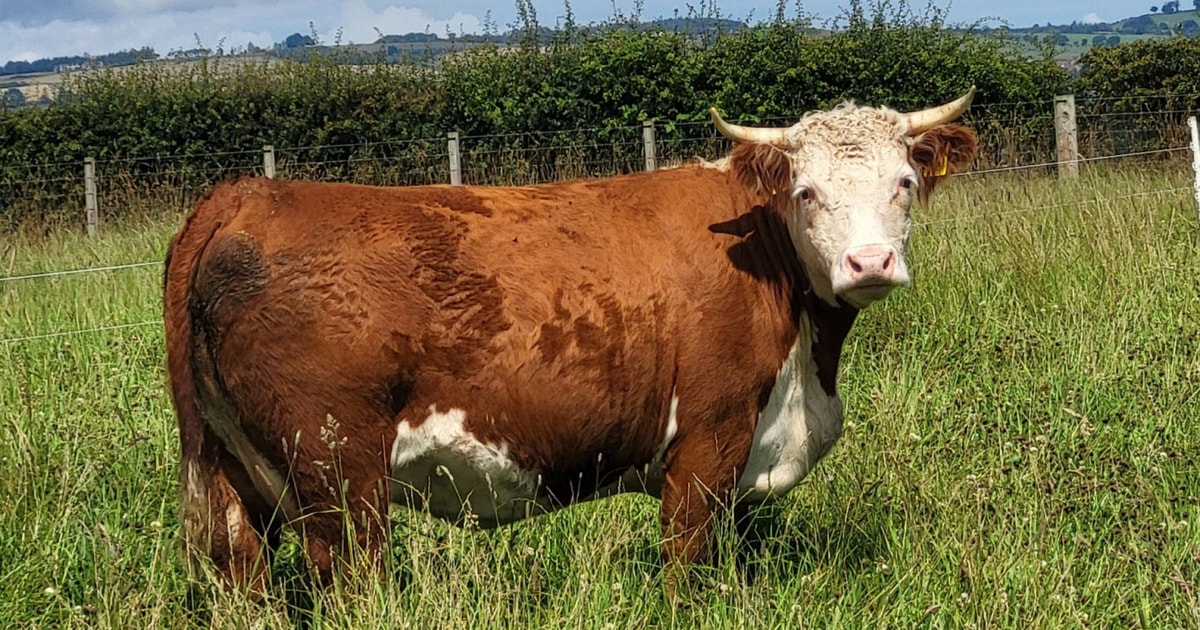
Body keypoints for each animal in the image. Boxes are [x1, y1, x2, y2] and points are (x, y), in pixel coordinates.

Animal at [163, 89, 978, 593]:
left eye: (905, 182)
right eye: (807, 192)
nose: (869, 262)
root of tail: (245, 193)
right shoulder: (709, 438)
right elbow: (687, 561)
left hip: (232, 468)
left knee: (242, 571)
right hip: (337, 473)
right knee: (350, 581)